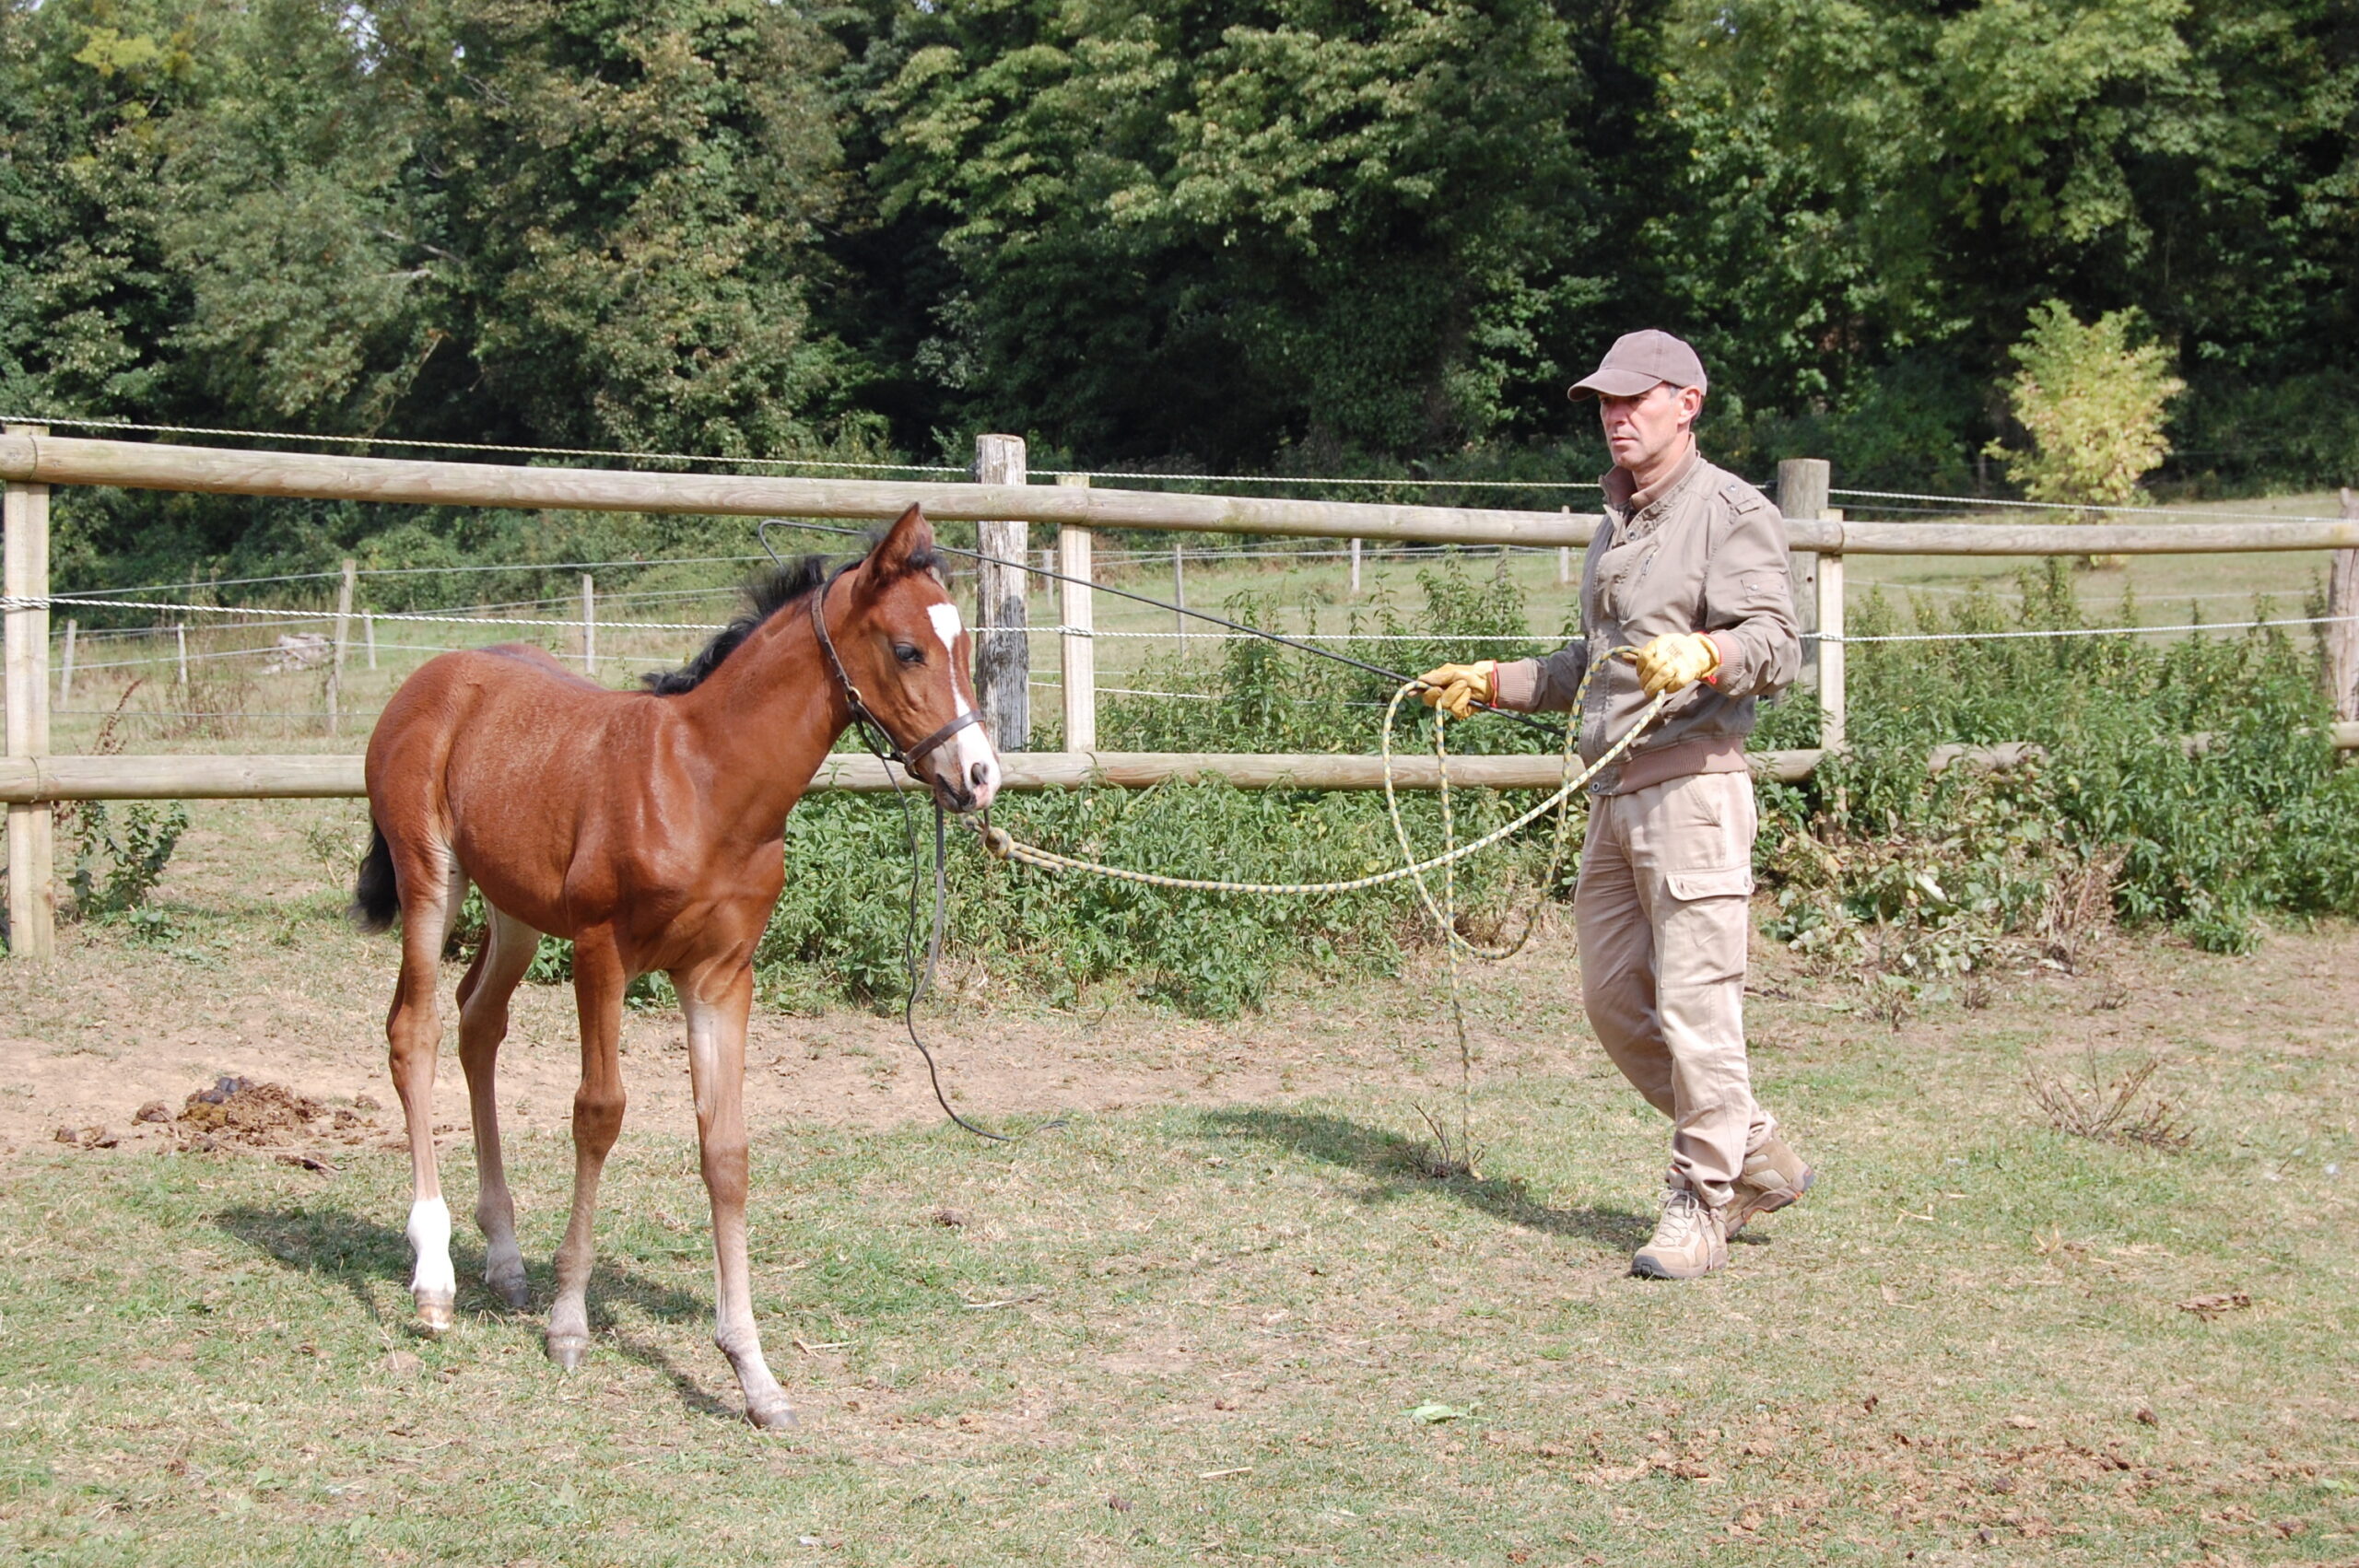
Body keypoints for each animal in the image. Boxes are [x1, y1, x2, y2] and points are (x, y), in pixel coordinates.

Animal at [348, 507, 995, 1423]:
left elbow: (725, 1150)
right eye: (908, 650)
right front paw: (569, 1324)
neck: (704, 783)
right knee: (416, 1031)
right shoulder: (601, 952)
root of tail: (433, 675)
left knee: (480, 1025)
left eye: (964, 642)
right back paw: (433, 1280)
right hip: (428, 877)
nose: (978, 776)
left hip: (515, 910)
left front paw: (753, 1372)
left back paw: (504, 1258)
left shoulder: (723, 975)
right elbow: (598, 1113)